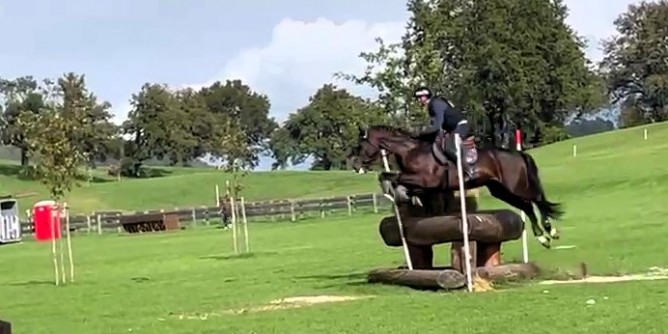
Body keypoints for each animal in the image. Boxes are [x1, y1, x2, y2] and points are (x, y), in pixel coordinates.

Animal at [350, 124, 564, 248]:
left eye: (361, 144)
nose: (355, 164)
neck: (411, 151)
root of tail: (517, 153)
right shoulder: (427, 185)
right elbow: (390, 177)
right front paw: (406, 196)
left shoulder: (426, 180)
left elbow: (395, 179)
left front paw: (399, 193)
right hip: (500, 190)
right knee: (526, 206)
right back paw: (543, 238)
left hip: (516, 186)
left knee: (537, 200)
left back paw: (550, 231)